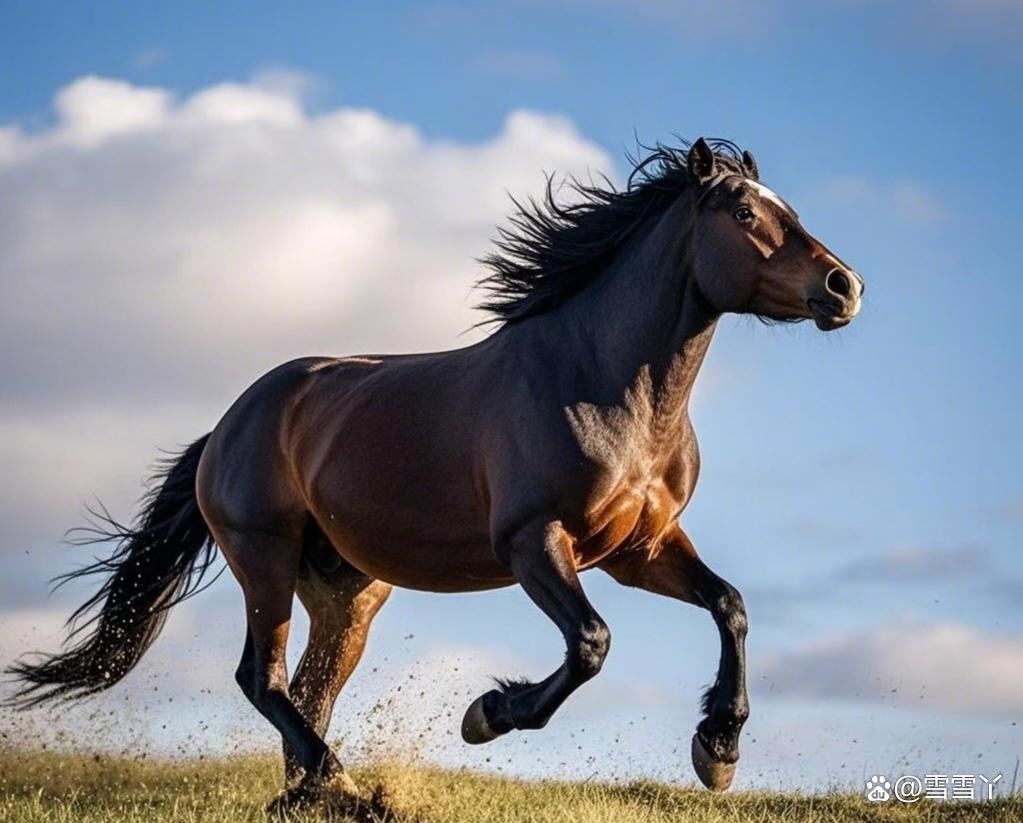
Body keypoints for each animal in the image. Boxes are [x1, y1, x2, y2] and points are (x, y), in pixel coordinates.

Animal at [7, 137, 863, 811]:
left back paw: (311, 796)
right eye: (744, 214)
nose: (843, 287)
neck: (601, 382)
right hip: (264, 556)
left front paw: (718, 749)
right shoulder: (532, 540)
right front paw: (487, 712)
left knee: (308, 688)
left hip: (348, 592)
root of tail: (229, 422)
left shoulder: (636, 549)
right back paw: (342, 786)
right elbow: (591, 642)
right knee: (264, 677)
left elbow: (729, 606)